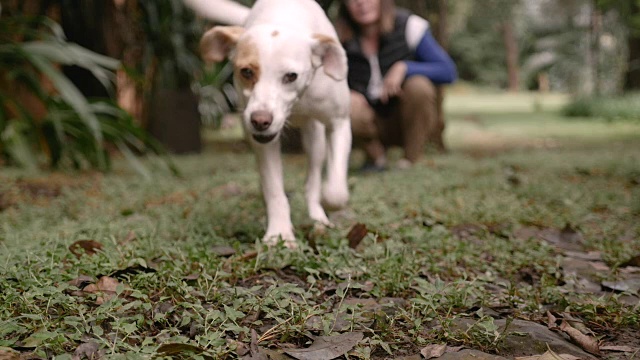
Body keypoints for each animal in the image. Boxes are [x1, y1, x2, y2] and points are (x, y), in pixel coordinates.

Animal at [188, 0, 352, 248]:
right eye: (246, 71)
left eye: (291, 76)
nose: (260, 121)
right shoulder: (262, 142)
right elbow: (274, 189)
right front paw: (279, 234)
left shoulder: (339, 122)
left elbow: (335, 192)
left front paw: (328, 205)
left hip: (315, 139)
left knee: (313, 178)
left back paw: (318, 217)